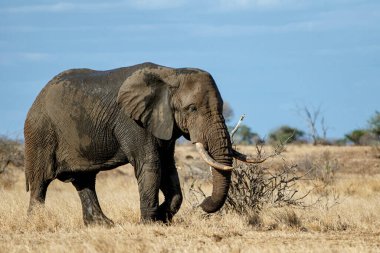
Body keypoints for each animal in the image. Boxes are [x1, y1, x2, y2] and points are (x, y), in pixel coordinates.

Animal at [25, 61, 254, 225]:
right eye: (192, 109)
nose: (202, 205)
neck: (171, 73)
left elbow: (168, 168)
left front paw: (162, 218)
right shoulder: (132, 121)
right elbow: (151, 164)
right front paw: (149, 222)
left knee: (85, 180)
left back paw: (103, 224)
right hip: (40, 133)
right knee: (40, 182)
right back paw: (37, 223)